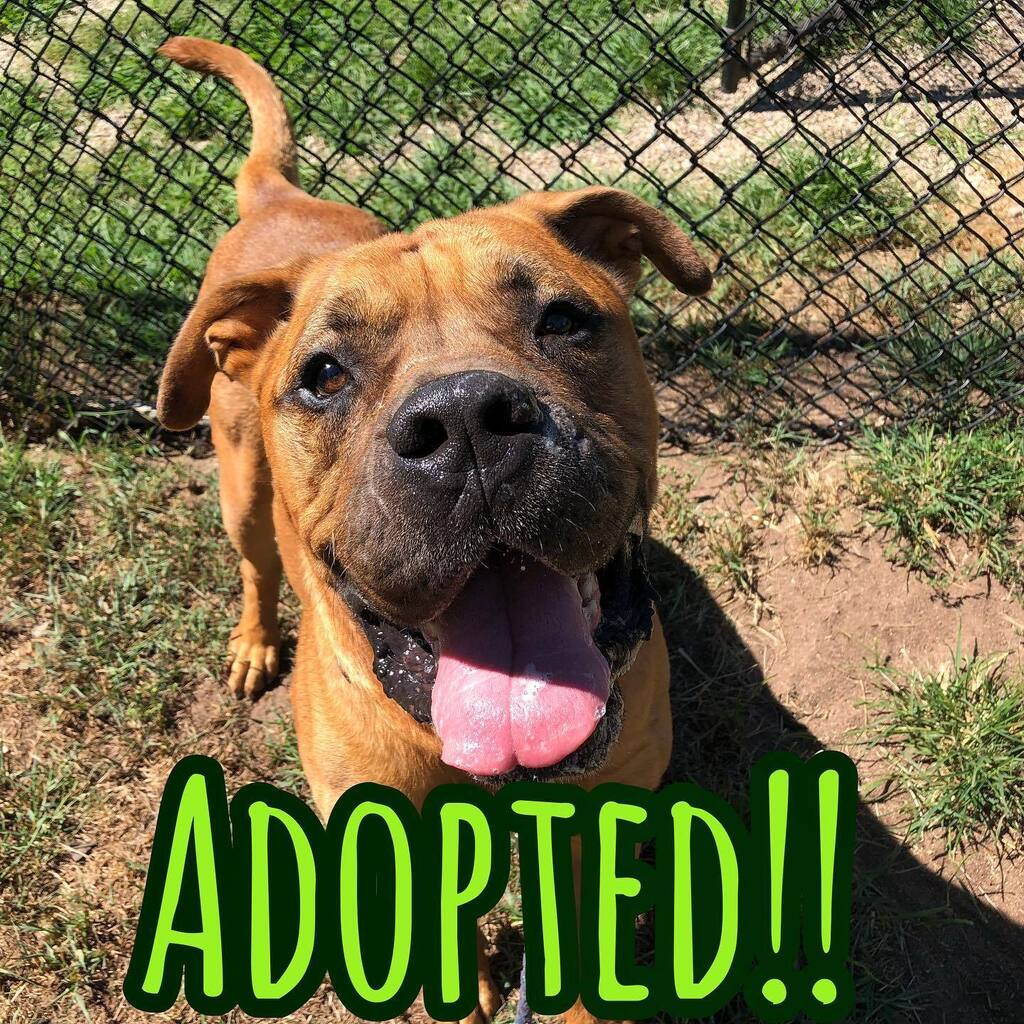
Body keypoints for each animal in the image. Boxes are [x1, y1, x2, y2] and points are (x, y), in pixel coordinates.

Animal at [155, 36, 708, 1019]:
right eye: (324, 374)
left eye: (564, 319)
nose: (464, 422)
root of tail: (275, 197)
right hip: (240, 489)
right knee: (257, 568)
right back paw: (256, 643)